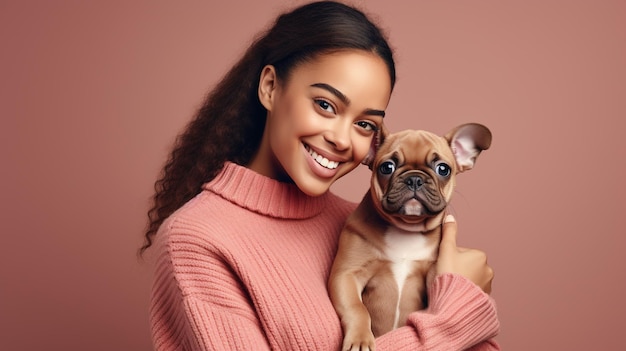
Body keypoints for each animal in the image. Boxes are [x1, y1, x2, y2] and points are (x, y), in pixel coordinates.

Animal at [330, 122, 490, 350]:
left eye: (443, 169)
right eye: (387, 167)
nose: (414, 178)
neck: (407, 229)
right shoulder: (347, 274)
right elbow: (356, 309)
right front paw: (360, 340)